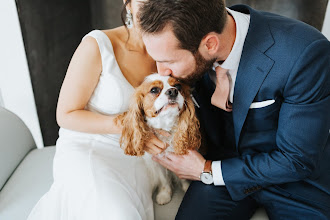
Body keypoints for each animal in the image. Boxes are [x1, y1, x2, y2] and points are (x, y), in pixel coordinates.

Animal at [115, 72, 201, 205]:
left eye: (178, 86)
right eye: (154, 90)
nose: (173, 91)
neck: (166, 127)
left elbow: (182, 175)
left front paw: (186, 187)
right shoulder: (156, 161)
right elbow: (163, 179)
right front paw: (164, 194)